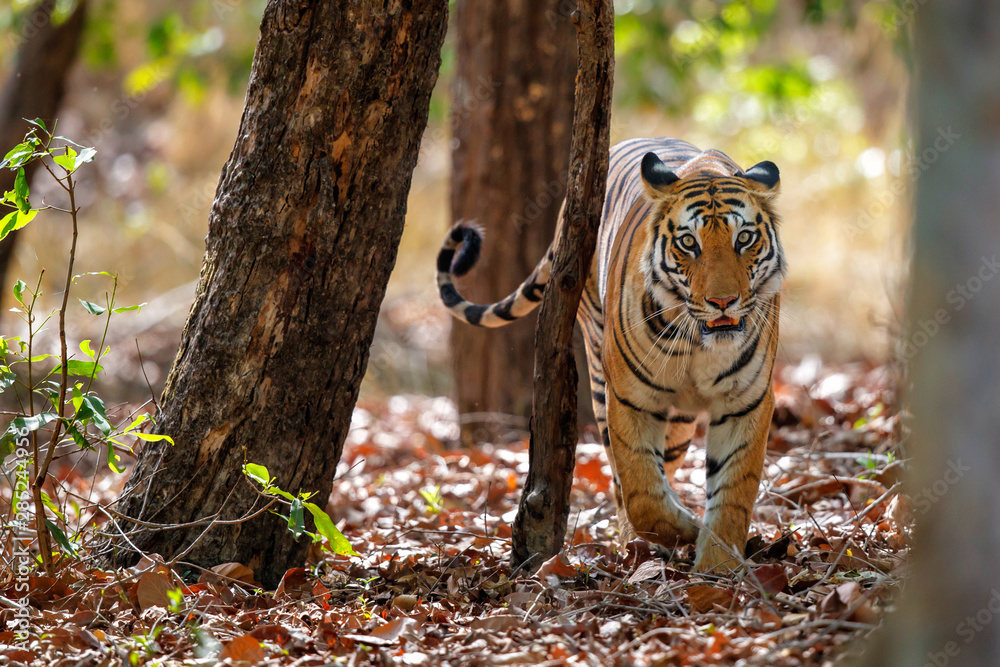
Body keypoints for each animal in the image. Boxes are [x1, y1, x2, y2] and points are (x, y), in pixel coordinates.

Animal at [434, 137, 784, 576]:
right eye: (689, 243)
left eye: (745, 239)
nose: (723, 301)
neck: (699, 345)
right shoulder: (630, 398)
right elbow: (640, 490)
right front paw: (683, 531)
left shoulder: (746, 402)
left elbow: (734, 489)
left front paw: (717, 567)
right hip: (601, 377)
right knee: (624, 480)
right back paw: (639, 542)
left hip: (679, 423)